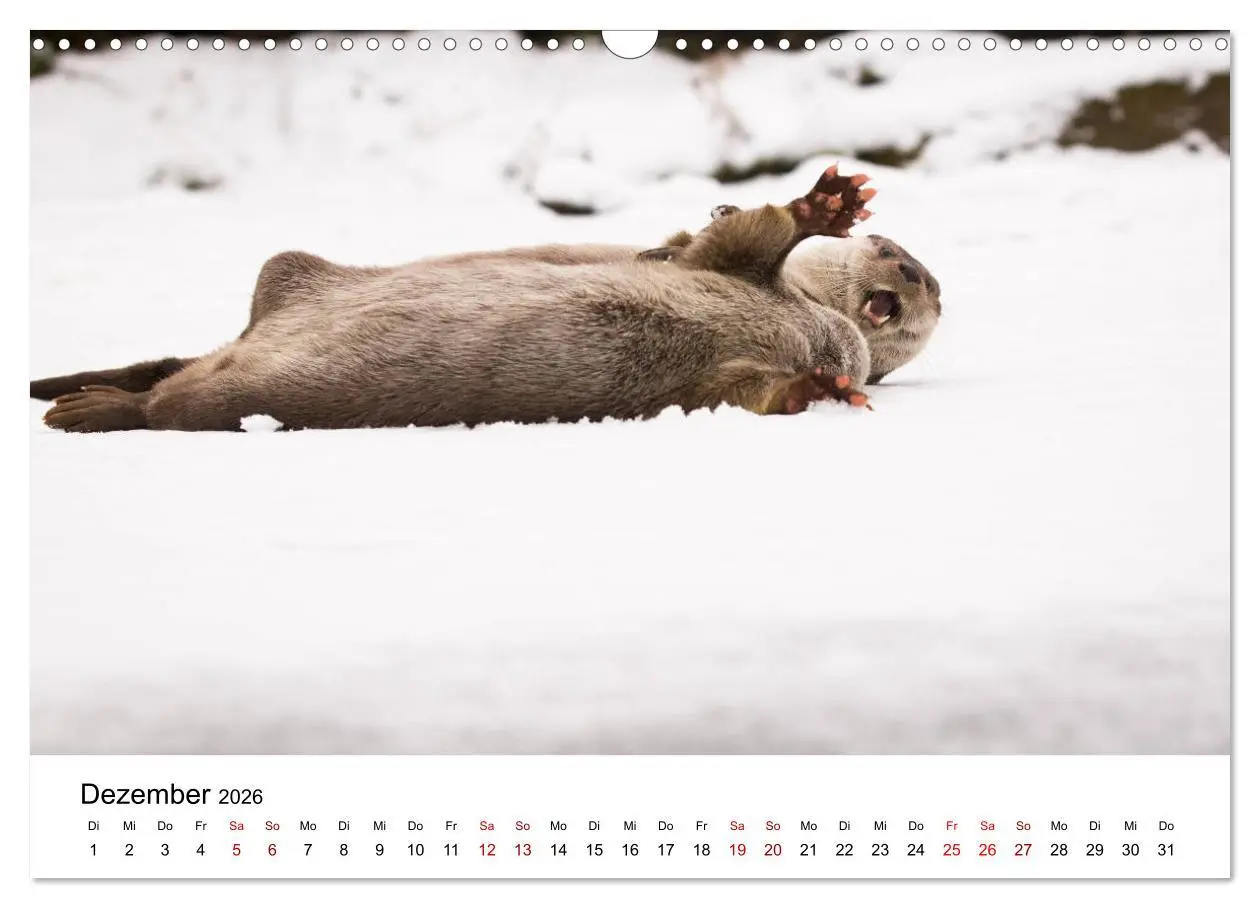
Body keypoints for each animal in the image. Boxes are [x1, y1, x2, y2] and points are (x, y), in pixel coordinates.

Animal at [31, 167, 942, 432]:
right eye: (898, 257)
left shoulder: (727, 369)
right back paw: (78, 402)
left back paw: (84, 406)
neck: (820, 322)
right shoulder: (726, 267)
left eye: (929, 284)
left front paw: (821, 387)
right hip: (290, 276)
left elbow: (742, 391)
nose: (908, 269)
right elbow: (747, 234)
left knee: (168, 401)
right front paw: (825, 204)